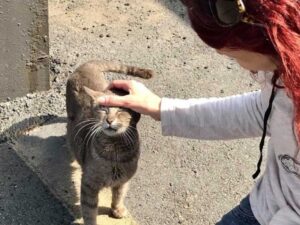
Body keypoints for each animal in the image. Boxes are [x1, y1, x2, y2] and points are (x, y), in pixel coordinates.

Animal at [67, 60, 154, 225]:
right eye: (103, 109)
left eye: (121, 110)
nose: (109, 120)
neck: (114, 153)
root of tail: (86, 65)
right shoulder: (89, 185)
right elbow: (89, 211)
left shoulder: (123, 180)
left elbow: (119, 196)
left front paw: (117, 209)